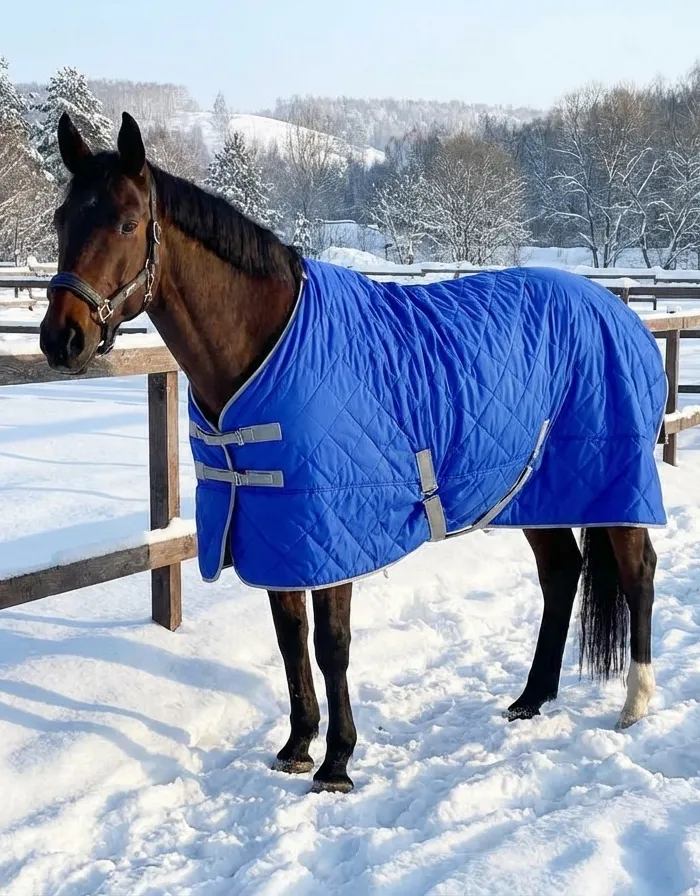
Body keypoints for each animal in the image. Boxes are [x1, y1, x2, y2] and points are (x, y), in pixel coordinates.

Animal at [39, 111, 665, 794]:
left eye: (126, 222)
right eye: (61, 219)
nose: (61, 339)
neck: (268, 347)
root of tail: (617, 311)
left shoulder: (332, 532)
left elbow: (331, 645)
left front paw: (337, 762)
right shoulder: (276, 529)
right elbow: (290, 640)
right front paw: (296, 746)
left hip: (614, 481)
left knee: (638, 572)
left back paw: (635, 704)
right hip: (532, 492)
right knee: (560, 575)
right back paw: (531, 698)